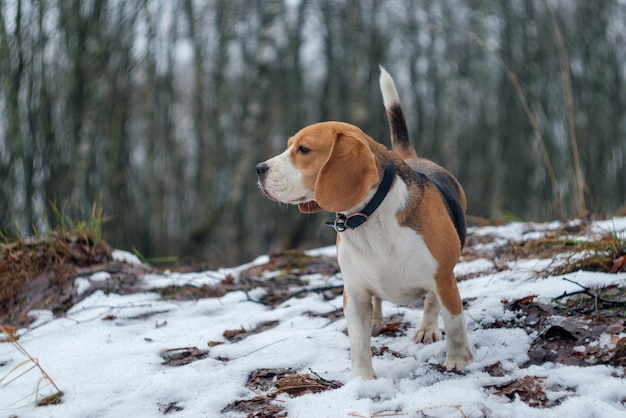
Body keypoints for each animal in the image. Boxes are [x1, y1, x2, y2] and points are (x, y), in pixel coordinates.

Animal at [256, 68, 470, 378]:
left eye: (304, 150)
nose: (259, 169)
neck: (370, 218)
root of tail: (412, 158)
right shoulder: (354, 293)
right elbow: (358, 343)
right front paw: (363, 380)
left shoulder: (443, 279)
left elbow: (453, 322)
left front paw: (458, 360)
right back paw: (378, 320)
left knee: (431, 302)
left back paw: (427, 329)